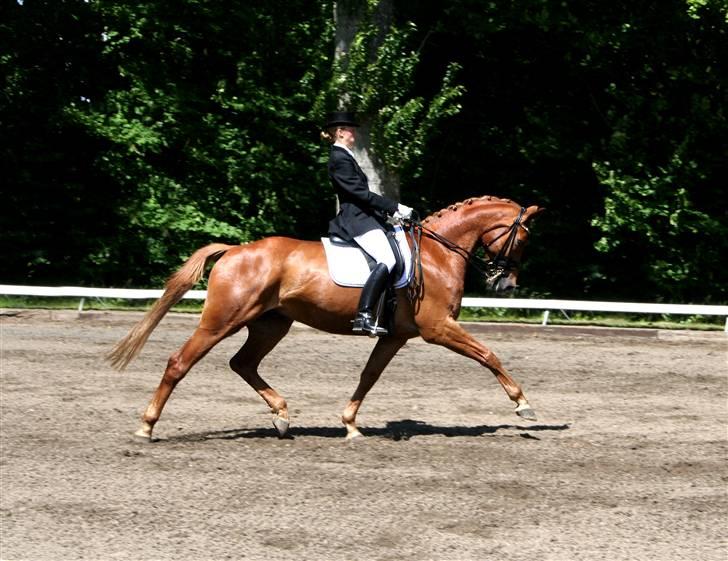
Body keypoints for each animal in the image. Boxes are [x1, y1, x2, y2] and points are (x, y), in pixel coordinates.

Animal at [106, 195, 540, 440]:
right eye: (522, 238)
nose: (507, 285)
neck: (436, 254)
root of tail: (234, 250)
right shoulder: (438, 329)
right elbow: (488, 355)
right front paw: (523, 405)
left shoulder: (394, 335)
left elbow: (369, 375)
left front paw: (349, 424)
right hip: (222, 321)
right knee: (180, 362)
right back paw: (146, 427)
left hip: (270, 323)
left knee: (243, 363)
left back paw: (282, 416)